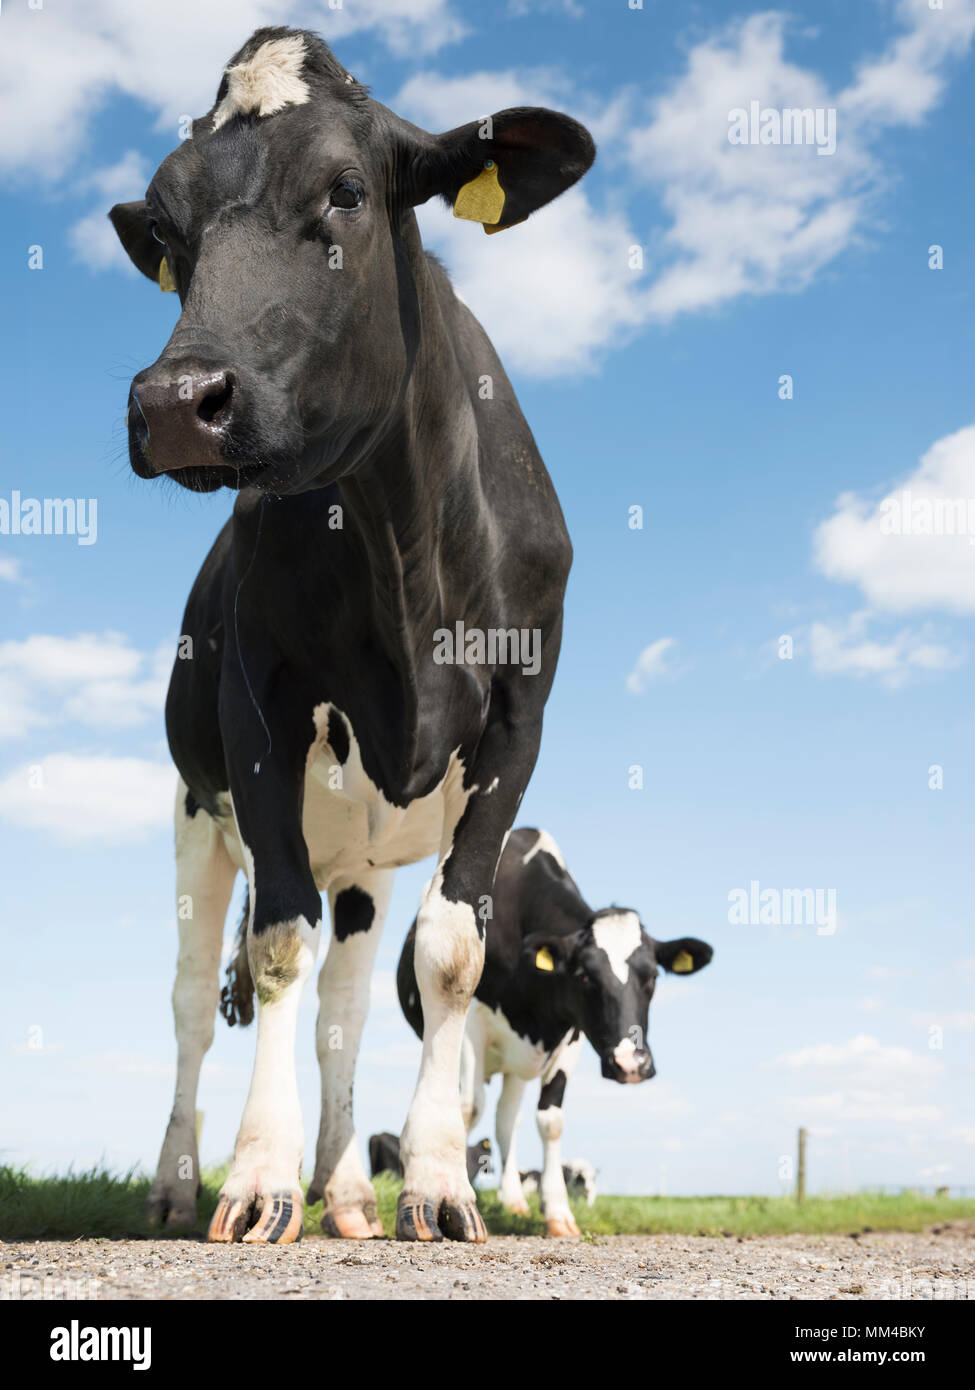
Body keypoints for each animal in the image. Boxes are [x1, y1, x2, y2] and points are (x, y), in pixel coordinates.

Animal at [108, 27, 594, 1245]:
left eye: (346, 192)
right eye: (168, 228)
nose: (176, 401)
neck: (402, 541)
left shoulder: (519, 721)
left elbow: (450, 954)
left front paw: (430, 1185)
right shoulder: (258, 709)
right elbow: (277, 940)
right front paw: (257, 1177)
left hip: (364, 864)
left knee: (342, 1006)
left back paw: (345, 1193)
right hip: (193, 816)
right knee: (193, 1003)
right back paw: (179, 1181)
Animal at [398, 827, 713, 1236]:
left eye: (654, 977)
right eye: (585, 976)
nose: (631, 1063)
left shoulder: (571, 1036)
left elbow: (550, 1120)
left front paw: (558, 1213)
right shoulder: (470, 1025)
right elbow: (467, 1108)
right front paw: (454, 1195)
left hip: (516, 1067)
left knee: (506, 1122)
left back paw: (513, 1200)